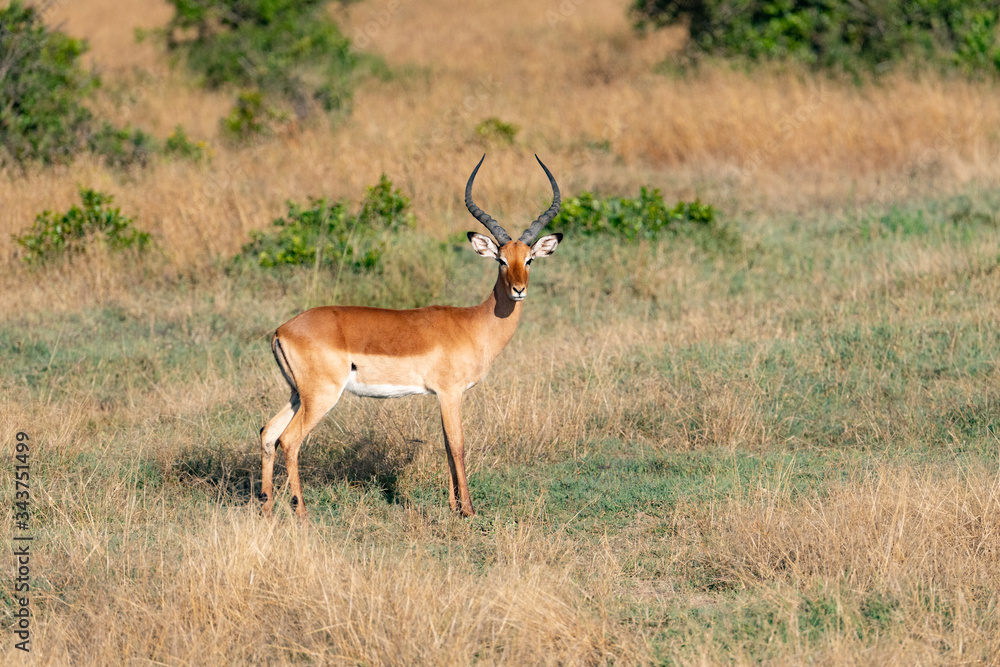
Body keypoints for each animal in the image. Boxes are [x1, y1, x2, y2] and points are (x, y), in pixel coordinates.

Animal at [259, 155, 562, 519]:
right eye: (501, 260)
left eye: (529, 259)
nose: (518, 289)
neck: (474, 324)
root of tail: (282, 330)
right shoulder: (450, 393)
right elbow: (457, 445)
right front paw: (469, 510)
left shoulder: (442, 396)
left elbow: (446, 445)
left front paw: (453, 506)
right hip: (321, 396)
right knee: (289, 440)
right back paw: (302, 511)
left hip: (296, 394)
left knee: (267, 433)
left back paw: (265, 506)